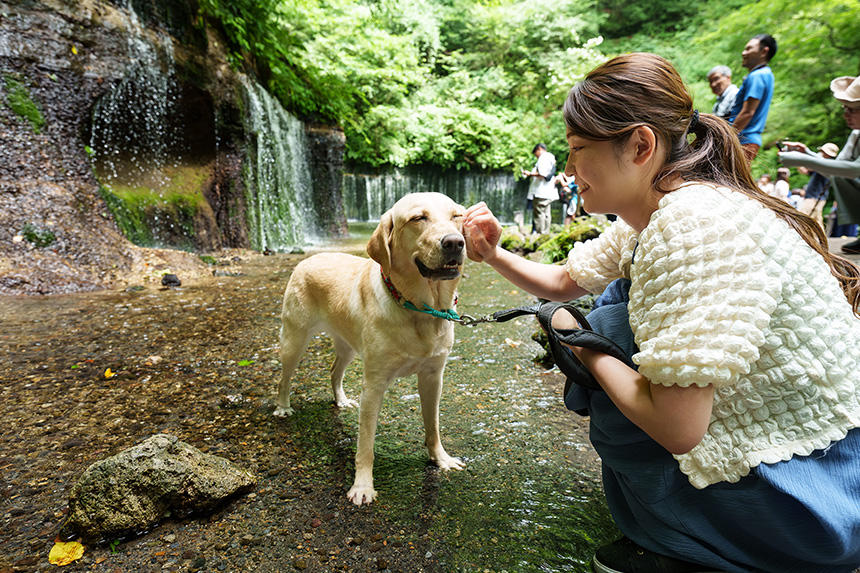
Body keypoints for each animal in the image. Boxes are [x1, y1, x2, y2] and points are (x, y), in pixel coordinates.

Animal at [276, 192, 466, 504]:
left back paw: (341, 400)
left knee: (334, 371)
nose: (454, 242)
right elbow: (365, 444)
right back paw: (282, 407)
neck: (419, 310)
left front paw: (441, 458)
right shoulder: (374, 385)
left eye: (457, 216)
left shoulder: (433, 376)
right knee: (284, 378)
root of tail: (310, 257)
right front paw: (362, 486)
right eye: (418, 218)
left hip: (348, 346)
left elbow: (433, 425)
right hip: (294, 338)